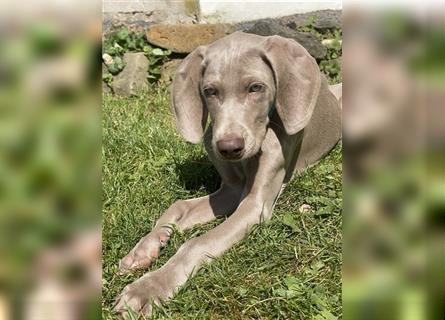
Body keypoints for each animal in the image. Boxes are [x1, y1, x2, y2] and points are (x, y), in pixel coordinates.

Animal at [113, 31, 340, 316]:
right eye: (210, 91)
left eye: (256, 88)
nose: (229, 148)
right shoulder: (230, 190)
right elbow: (177, 206)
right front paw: (146, 247)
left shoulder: (254, 205)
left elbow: (196, 242)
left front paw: (149, 287)